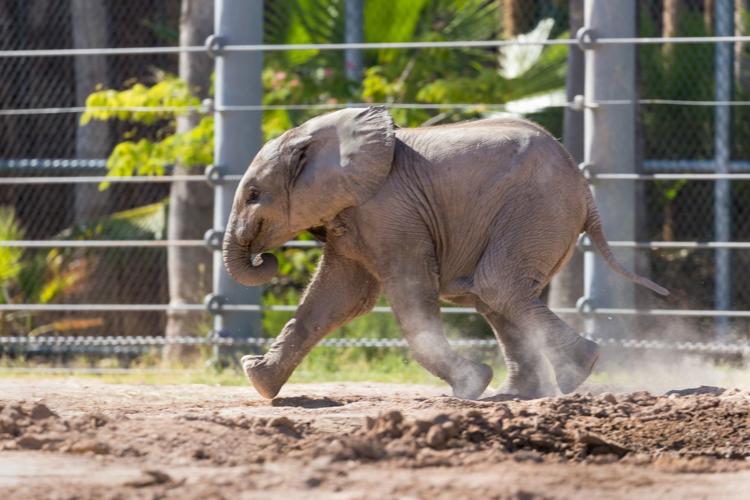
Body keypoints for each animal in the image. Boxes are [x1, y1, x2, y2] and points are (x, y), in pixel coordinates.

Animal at [223, 107, 668, 400]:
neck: (314, 134)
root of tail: (584, 187)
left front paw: (471, 386)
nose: (265, 259)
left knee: (496, 286)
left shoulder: (390, 211)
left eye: (254, 195)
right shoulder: (352, 216)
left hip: (537, 210)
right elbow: (337, 299)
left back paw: (578, 372)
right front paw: (258, 379)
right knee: (493, 297)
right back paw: (517, 393)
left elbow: (408, 293)